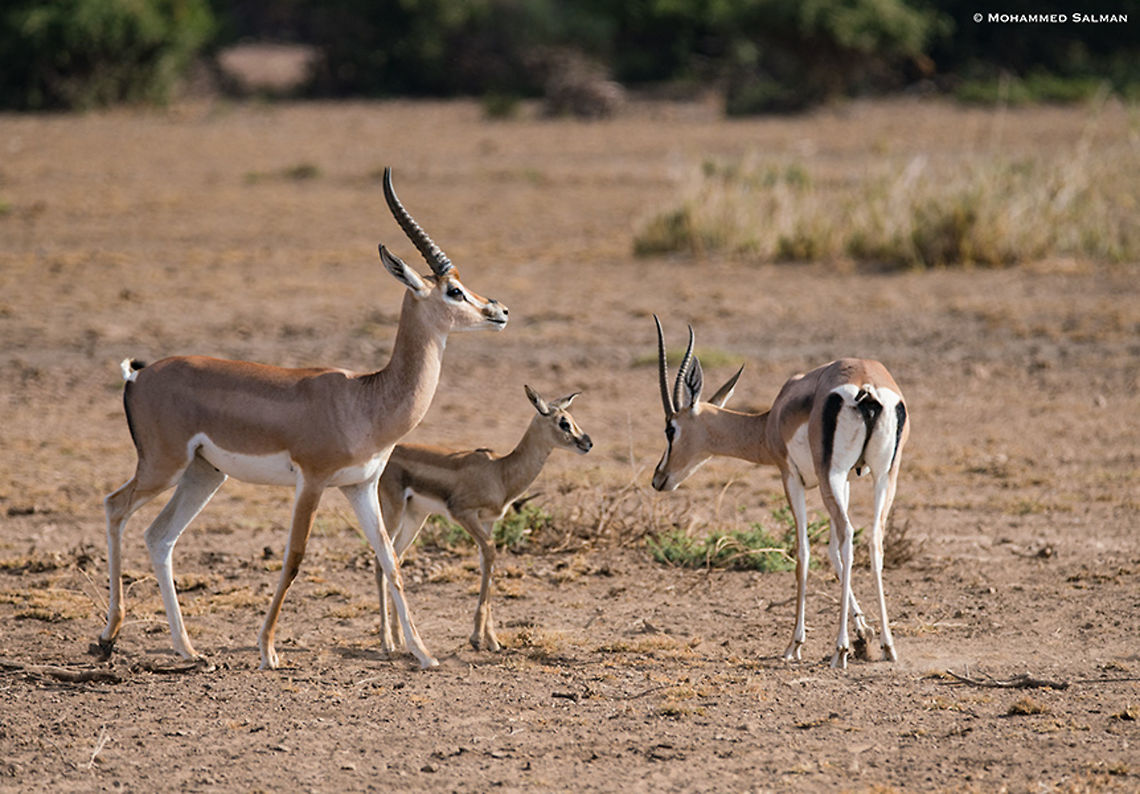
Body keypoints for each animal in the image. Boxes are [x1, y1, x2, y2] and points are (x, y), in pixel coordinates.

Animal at [98, 169, 508, 670]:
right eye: (454, 290)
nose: (499, 311)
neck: (365, 399)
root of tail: (138, 374)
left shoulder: (361, 486)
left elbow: (390, 560)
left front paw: (423, 653)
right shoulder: (311, 481)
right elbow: (294, 556)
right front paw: (268, 650)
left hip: (204, 475)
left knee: (159, 536)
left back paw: (189, 649)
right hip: (163, 466)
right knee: (115, 507)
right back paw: (108, 637)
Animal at [376, 385, 592, 653]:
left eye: (571, 418)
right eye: (564, 422)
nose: (588, 443)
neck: (499, 473)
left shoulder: (488, 522)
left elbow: (486, 563)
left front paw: (491, 639)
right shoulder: (464, 514)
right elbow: (490, 552)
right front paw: (477, 638)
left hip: (415, 516)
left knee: (396, 558)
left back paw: (400, 639)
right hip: (393, 511)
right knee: (380, 560)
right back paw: (387, 642)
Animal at [651, 318, 909, 669]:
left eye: (670, 429)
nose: (658, 478)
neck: (771, 420)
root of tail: (866, 386)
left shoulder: (792, 477)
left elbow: (803, 551)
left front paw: (795, 644)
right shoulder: (846, 480)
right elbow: (833, 553)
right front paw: (863, 634)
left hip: (833, 475)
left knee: (848, 536)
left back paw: (839, 649)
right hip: (883, 476)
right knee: (872, 539)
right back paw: (888, 646)